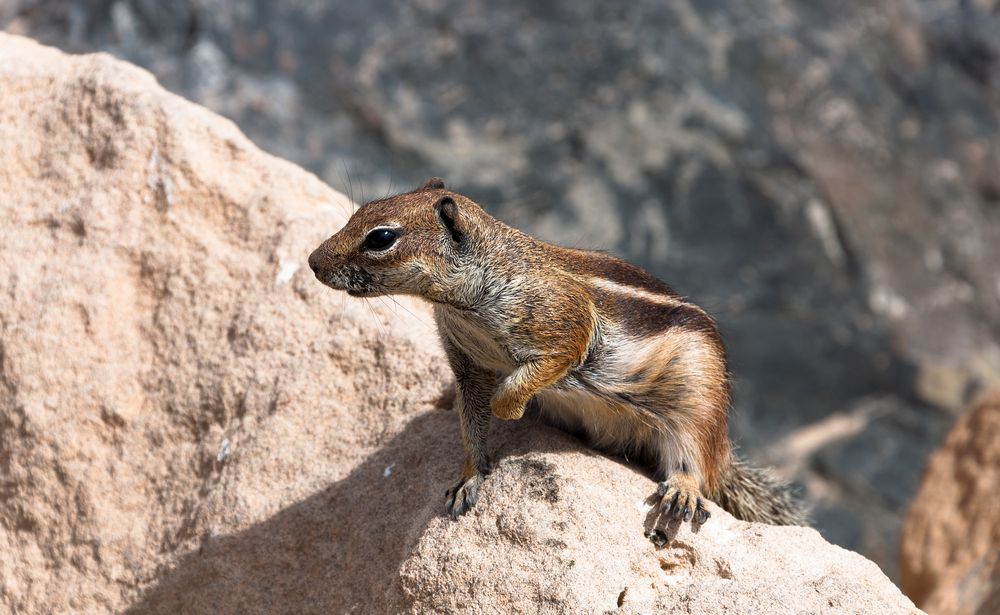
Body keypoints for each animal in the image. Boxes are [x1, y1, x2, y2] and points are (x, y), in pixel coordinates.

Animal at [308, 177, 808, 528]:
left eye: (380, 238)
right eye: (361, 212)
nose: (313, 262)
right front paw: (470, 477)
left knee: (694, 460)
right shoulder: (466, 365)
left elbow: (531, 375)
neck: (463, 303)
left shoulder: (564, 326)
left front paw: (511, 407)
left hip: (698, 402)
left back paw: (682, 489)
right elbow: (471, 425)